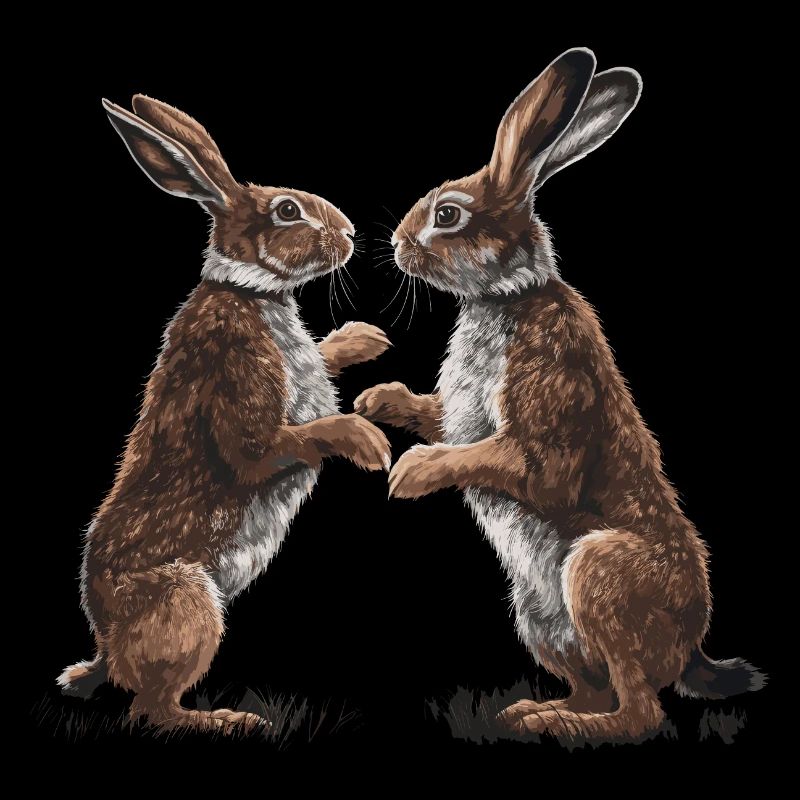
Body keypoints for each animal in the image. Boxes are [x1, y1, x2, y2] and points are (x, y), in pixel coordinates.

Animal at [58, 95, 392, 733]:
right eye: (287, 210)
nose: (348, 233)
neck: (252, 292)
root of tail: (107, 646)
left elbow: (323, 356)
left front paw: (366, 339)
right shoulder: (240, 389)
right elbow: (271, 445)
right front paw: (366, 442)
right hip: (188, 605)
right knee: (151, 709)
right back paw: (227, 721)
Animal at [355, 48, 765, 741]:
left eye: (447, 214)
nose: (396, 246)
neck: (506, 294)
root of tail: (689, 648)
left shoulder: (547, 409)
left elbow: (511, 461)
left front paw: (412, 473)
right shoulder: (457, 412)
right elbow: (434, 416)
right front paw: (373, 402)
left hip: (601, 579)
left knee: (639, 712)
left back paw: (564, 728)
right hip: (538, 617)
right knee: (596, 689)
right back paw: (533, 713)